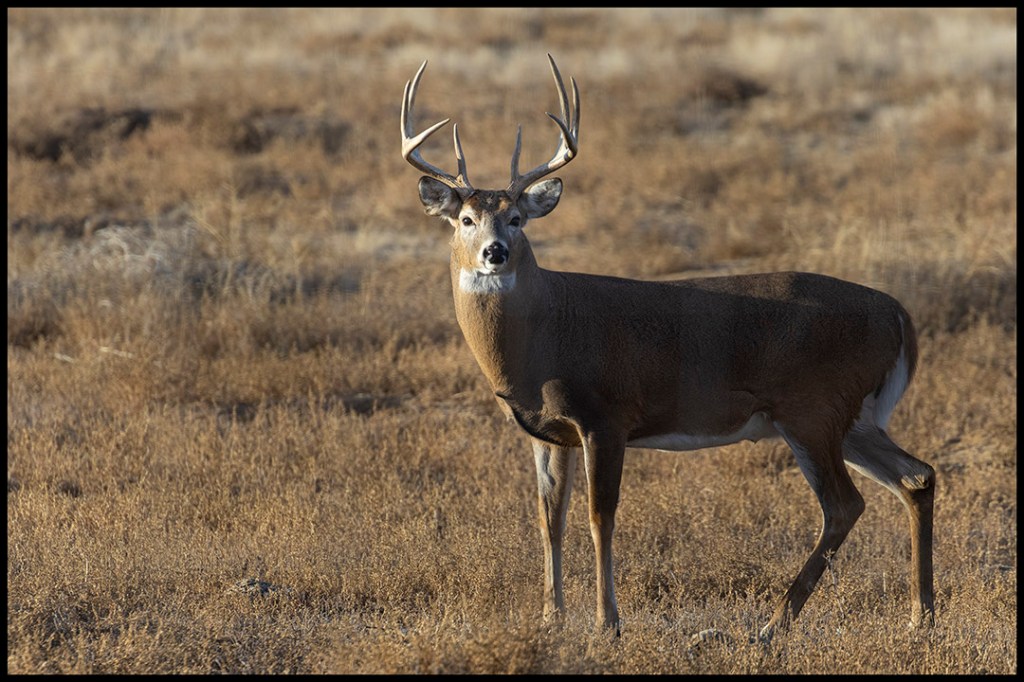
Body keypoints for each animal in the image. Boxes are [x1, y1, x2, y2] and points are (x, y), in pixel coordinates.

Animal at [400, 54, 935, 642]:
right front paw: (550, 620)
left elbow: (600, 517)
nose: (494, 252)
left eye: (516, 219)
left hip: (812, 409)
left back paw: (772, 627)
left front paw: (608, 623)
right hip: (852, 417)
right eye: (466, 219)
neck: (542, 338)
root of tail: (899, 316)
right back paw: (920, 617)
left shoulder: (606, 415)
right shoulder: (547, 431)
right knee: (916, 477)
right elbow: (549, 519)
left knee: (844, 505)